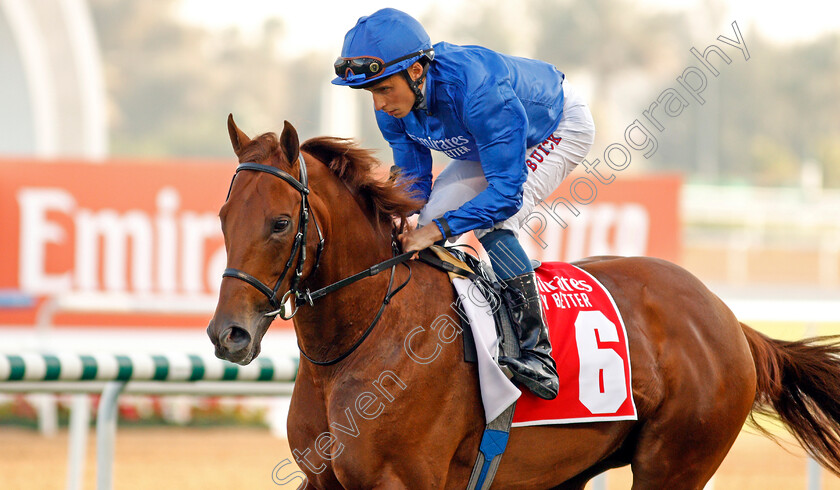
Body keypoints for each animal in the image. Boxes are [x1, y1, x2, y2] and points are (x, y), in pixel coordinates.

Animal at [207, 117, 840, 488]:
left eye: (281, 222)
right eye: (222, 217)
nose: (227, 334)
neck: (362, 338)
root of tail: (727, 318)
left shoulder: (405, 481)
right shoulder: (325, 479)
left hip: (676, 463)